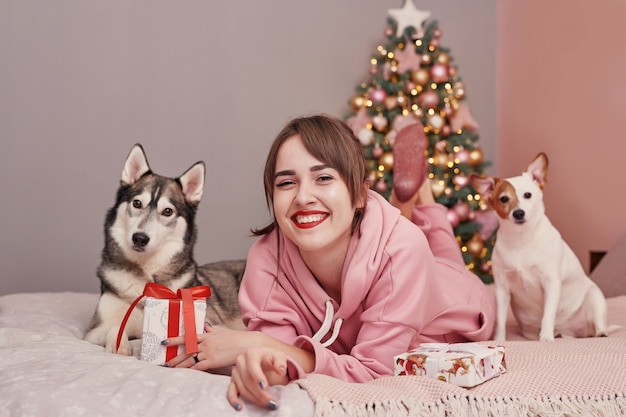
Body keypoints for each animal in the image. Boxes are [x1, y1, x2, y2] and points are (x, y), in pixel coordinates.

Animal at [84, 144, 245, 354]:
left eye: (167, 211)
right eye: (137, 203)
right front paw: (120, 345)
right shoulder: (93, 331)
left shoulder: (216, 323)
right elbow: (115, 327)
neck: (147, 274)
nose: (140, 238)